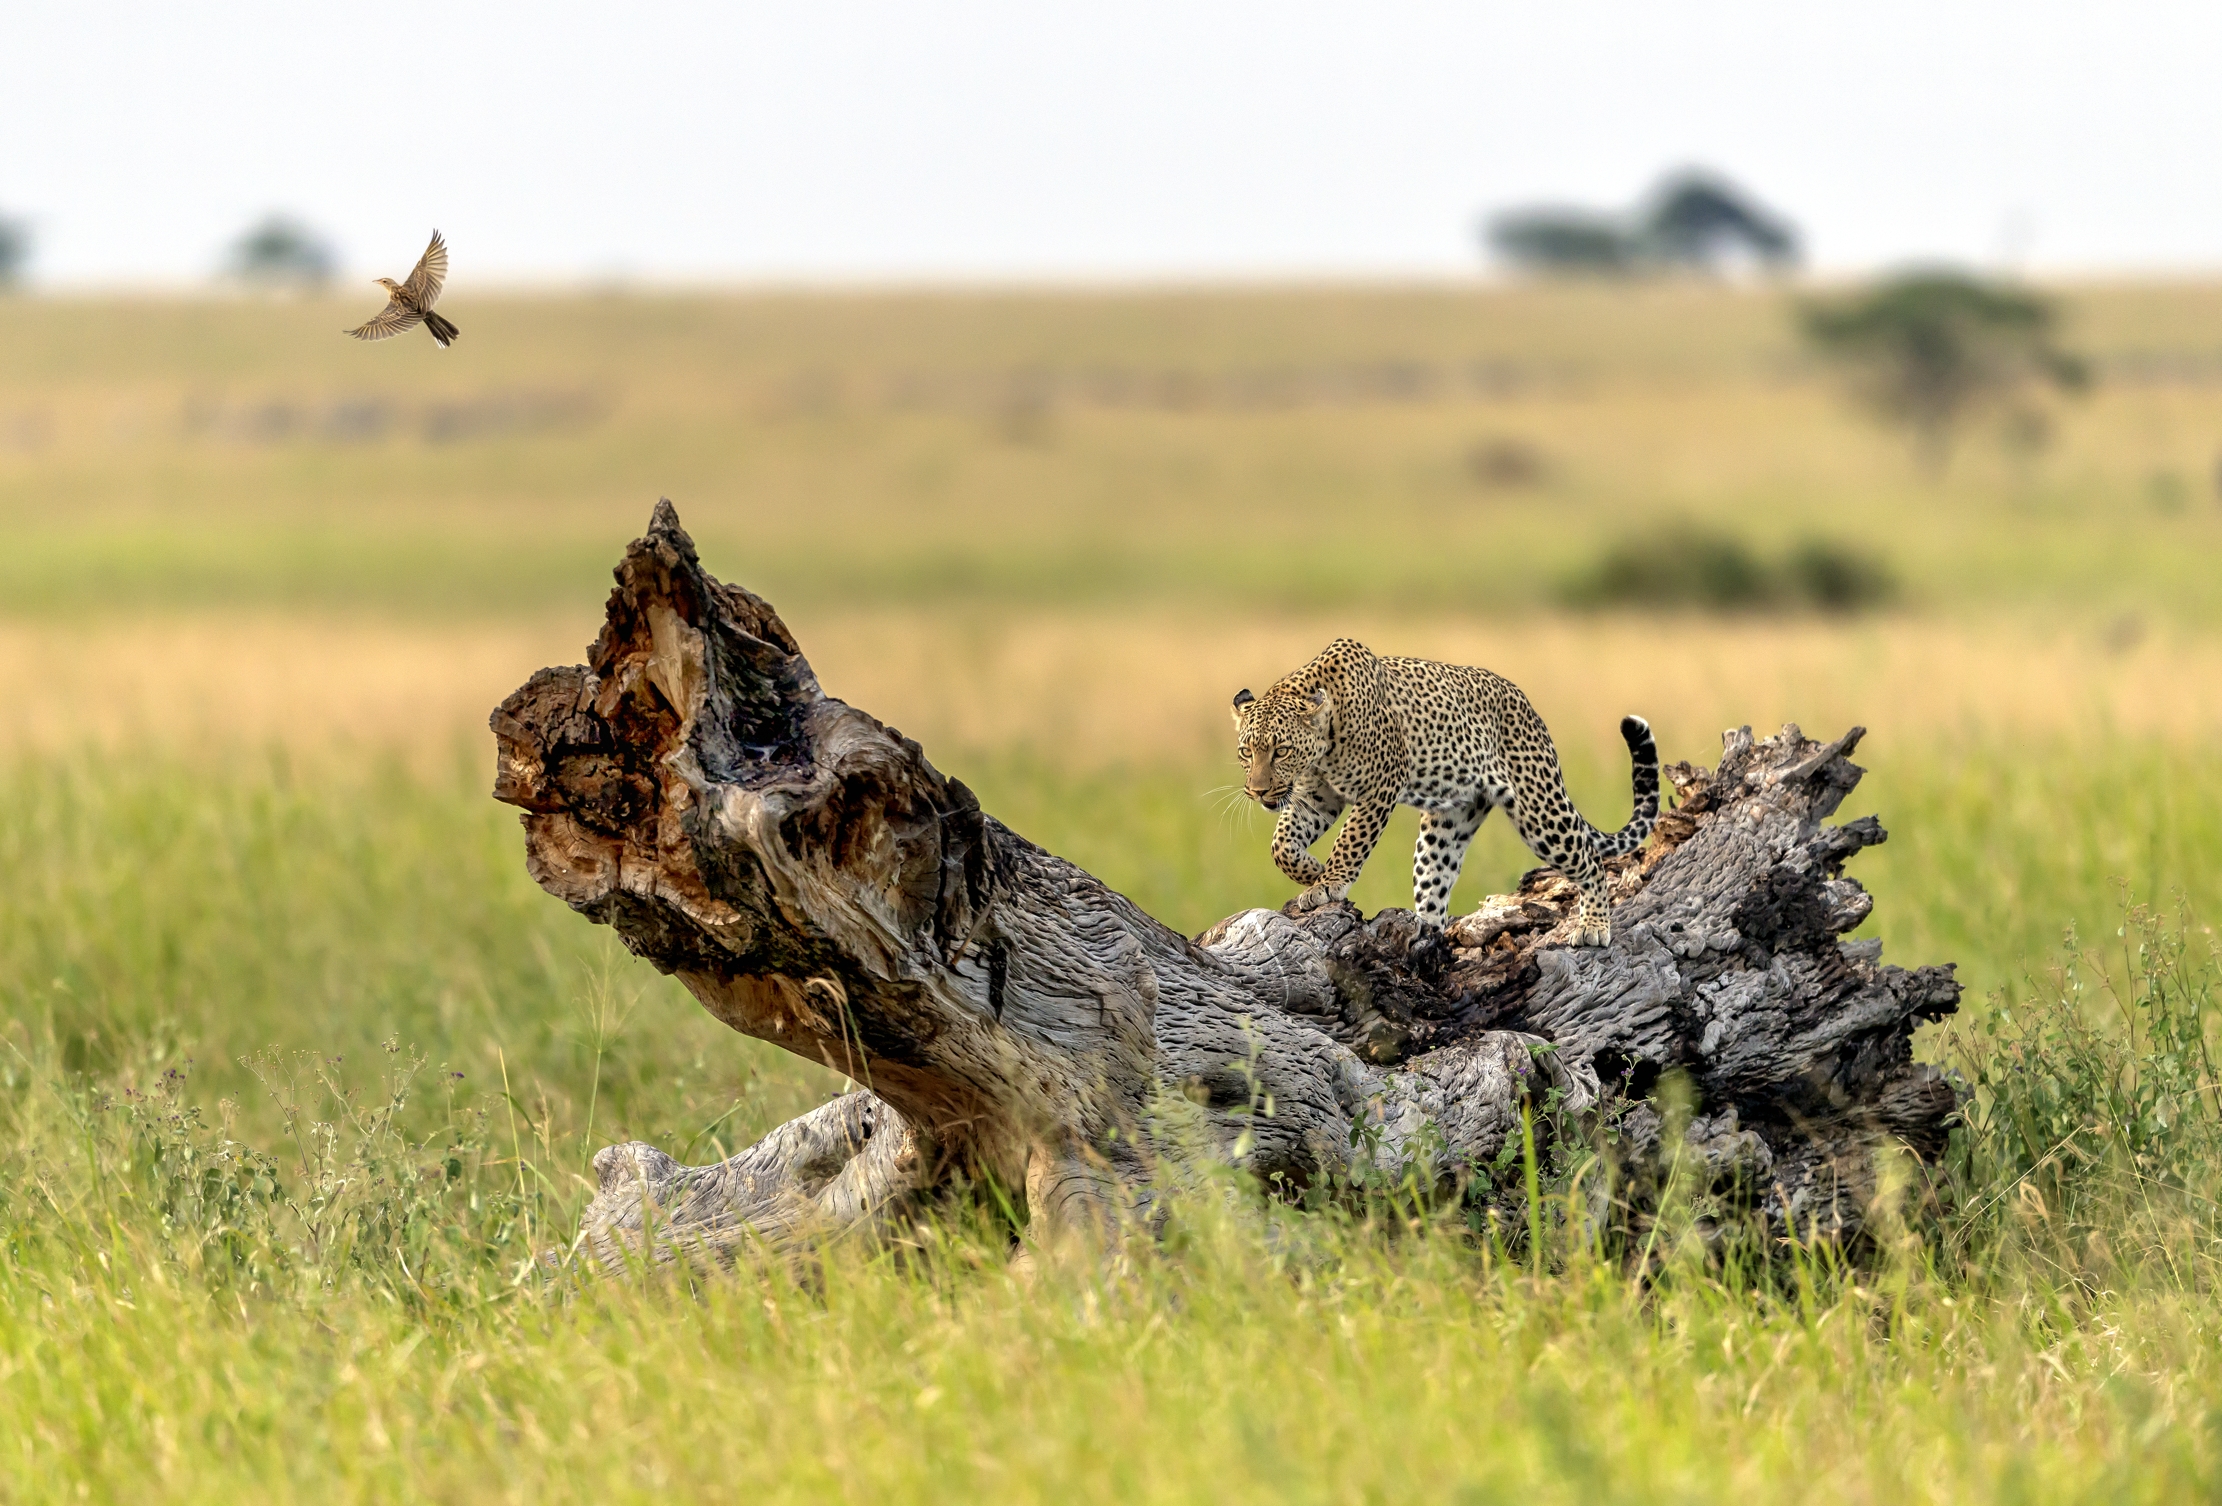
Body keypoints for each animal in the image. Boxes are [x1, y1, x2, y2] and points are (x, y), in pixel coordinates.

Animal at [1230, 637, 1659, 948]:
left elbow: (1350, 840)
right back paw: (1427, 935)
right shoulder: (1316, 797)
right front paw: (1311, 872)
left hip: (1540, 809)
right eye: (1246, 751)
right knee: (1435, 884)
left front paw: (1328, 882)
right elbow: (1281, 845)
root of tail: (1530, 708)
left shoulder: (1380, 785)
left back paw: (1594, 926)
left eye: (1281, 750)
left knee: (1589, 859)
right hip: (1447, 826)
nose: (1257, 791)